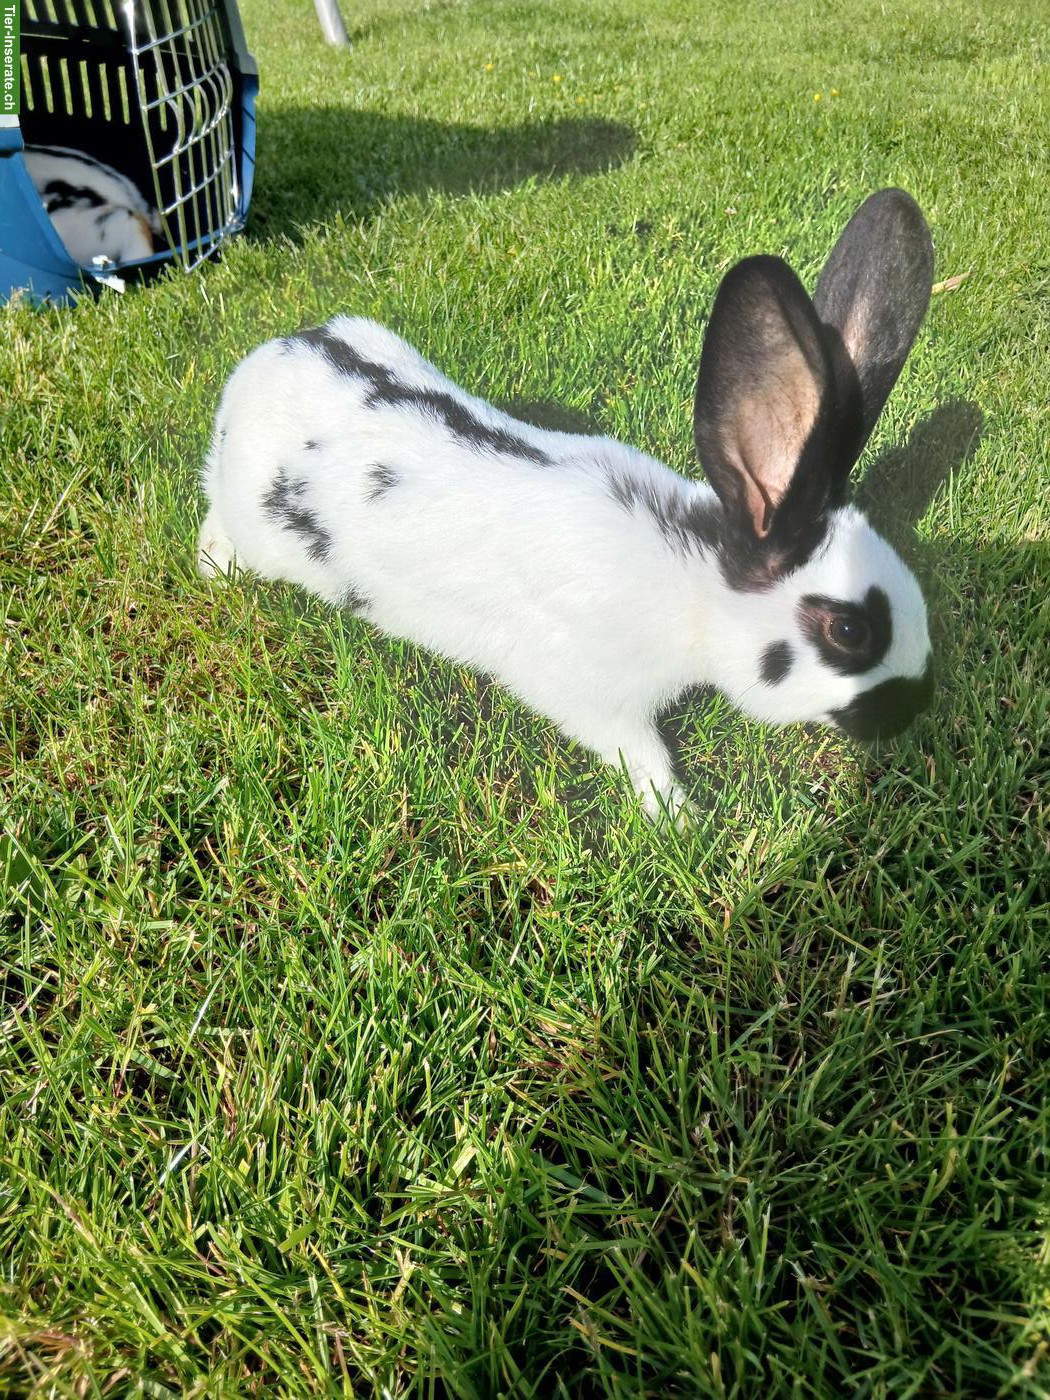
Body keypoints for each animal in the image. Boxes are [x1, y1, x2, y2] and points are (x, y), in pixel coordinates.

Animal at [198, 188, 936, 820]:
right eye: (849, 632)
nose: (918, 704)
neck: (694, 586)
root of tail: (259, 365)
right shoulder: (590, 696)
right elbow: (640, 754)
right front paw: (680, 821)